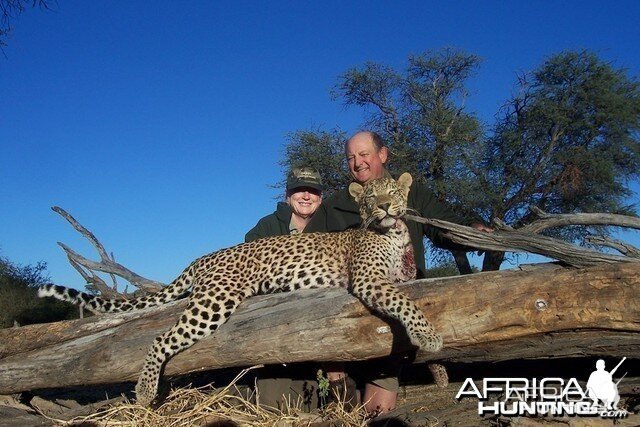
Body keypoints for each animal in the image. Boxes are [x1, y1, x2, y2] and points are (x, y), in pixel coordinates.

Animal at [38, 172, 440, 406]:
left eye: (391, 191)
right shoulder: (369, 279)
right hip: (216, 300)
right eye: (371, 198)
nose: (385, 206)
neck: (392, 233)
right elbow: (404, 300)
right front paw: (429, 336)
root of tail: (202, 257)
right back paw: (145, 389)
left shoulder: (398, 273)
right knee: (161, 338)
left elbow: (407, 287)